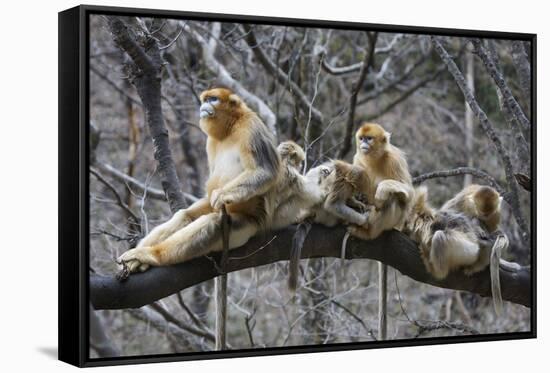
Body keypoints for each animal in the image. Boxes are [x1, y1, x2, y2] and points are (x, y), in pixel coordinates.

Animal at [116, 87, 280, 274]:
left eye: (213, 99)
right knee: (185, 215)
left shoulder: (251, 127)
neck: (231, 127)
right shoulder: (211, 142)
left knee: (214, 223)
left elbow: (265, 171)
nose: (204, 105)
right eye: (205, 99)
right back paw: (138, 260)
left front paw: (222, 195)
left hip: (247, 225)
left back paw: (152, 255)